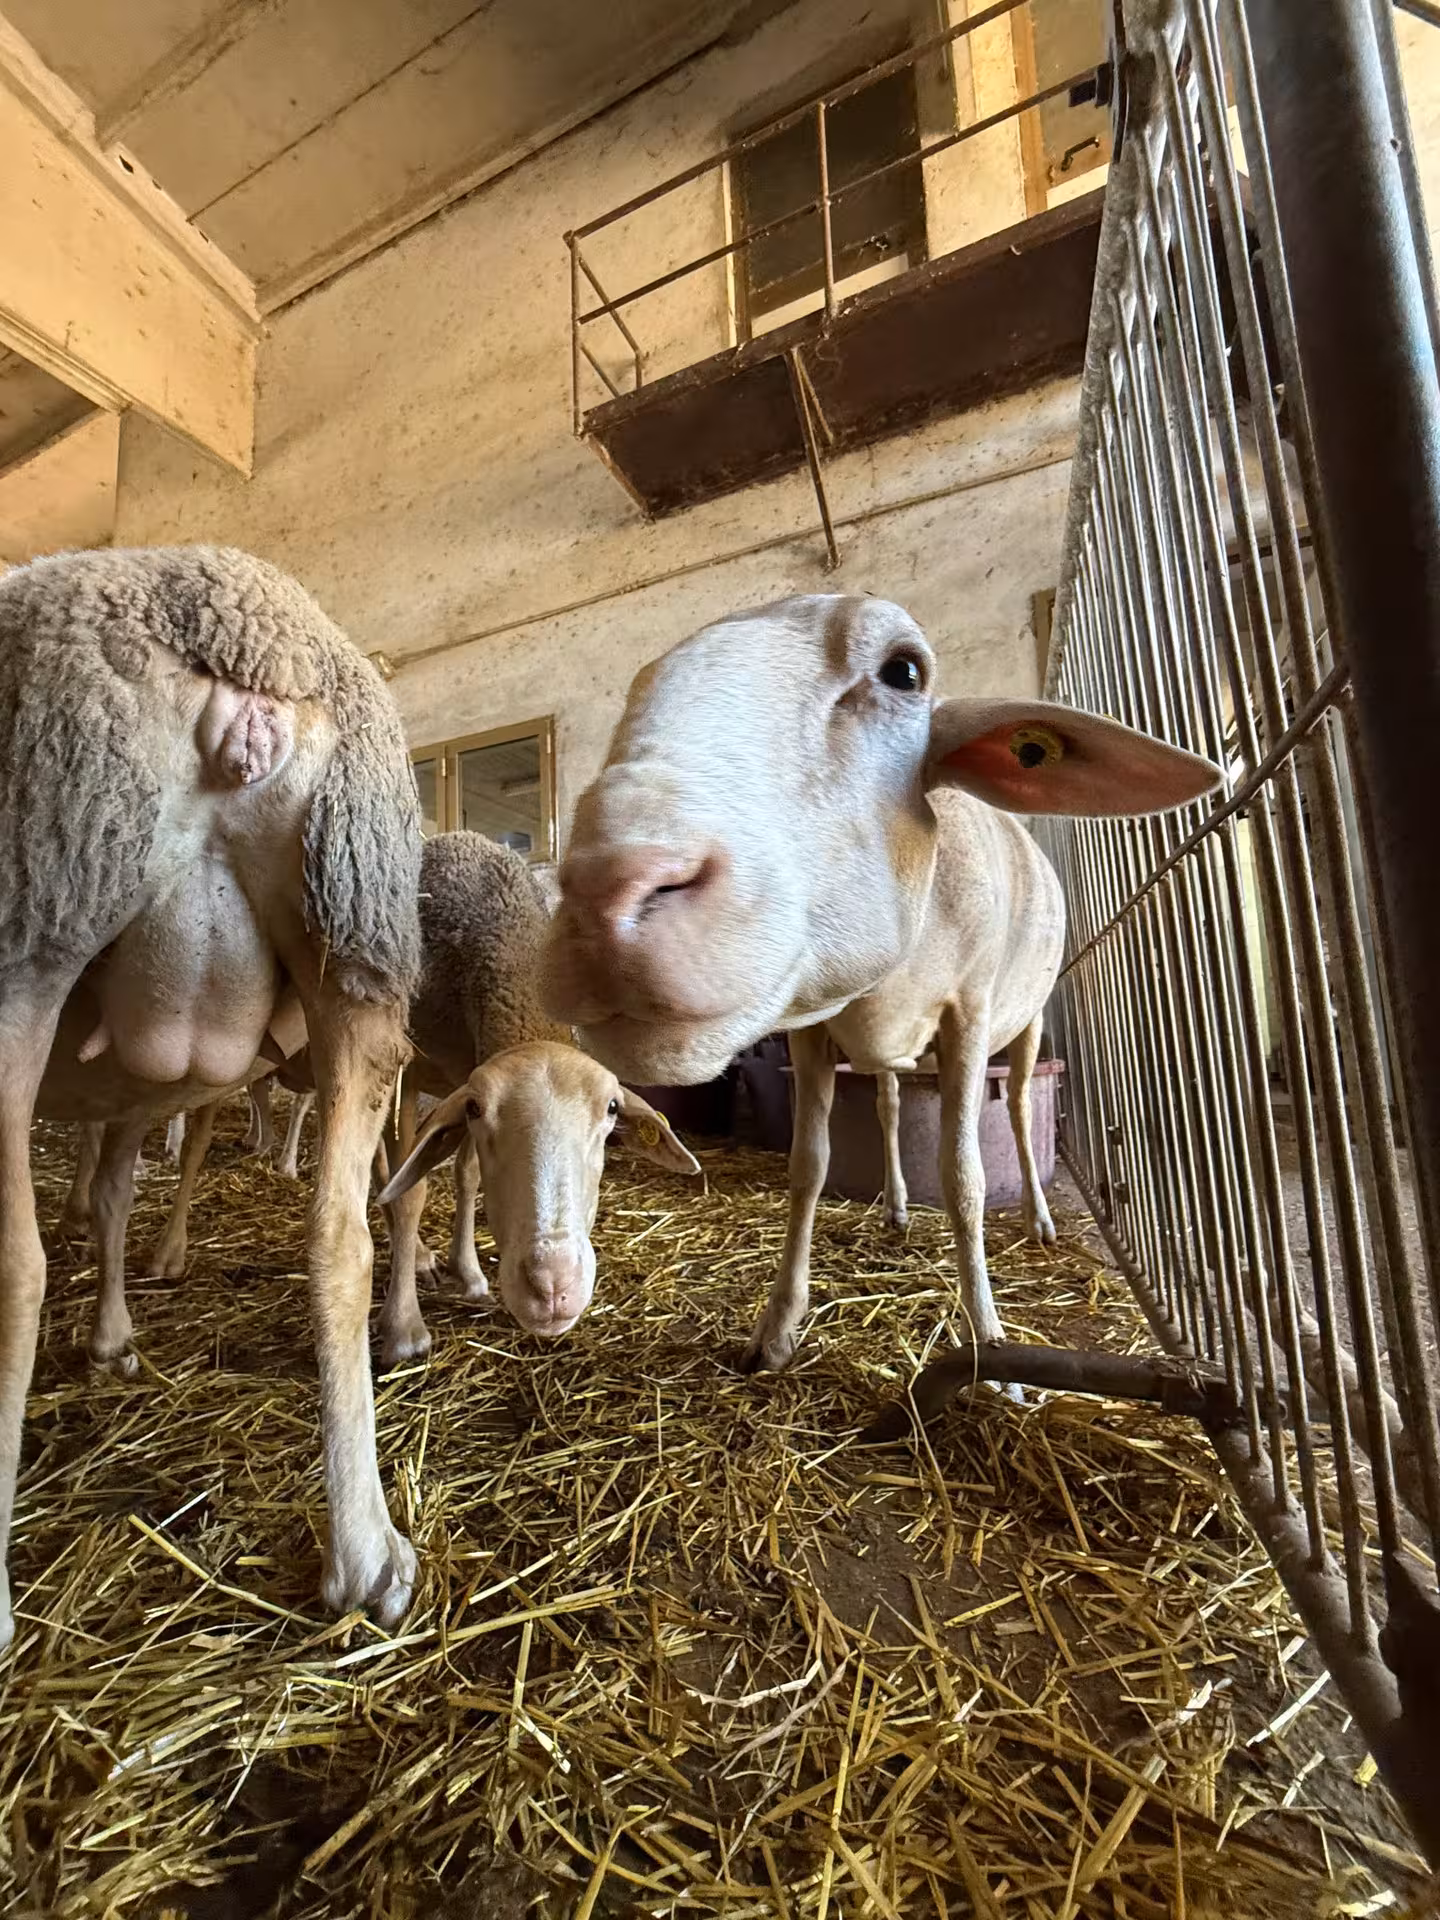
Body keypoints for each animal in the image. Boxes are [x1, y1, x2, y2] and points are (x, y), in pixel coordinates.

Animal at [0, 544, 422, 1647]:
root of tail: (252, 657)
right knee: (339, 1239)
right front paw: (113, 1339)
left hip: (38, 898)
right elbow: (111, 1195)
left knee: (14, 1265)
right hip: (357, 933)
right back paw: (367, 1554)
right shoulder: (127, 1096)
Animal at [542, 594, 1218, 1370]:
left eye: (905, 671)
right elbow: (808, 1166)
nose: (606, 894)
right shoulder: (811, 1030)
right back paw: (895, 1206)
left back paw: (1038, 1217)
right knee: (893, 1103)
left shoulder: (969, 1014)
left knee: (1021, 1106)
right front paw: (777, 1328)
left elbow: (964, 1178)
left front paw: (991, 1349)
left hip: (1031, 1018)